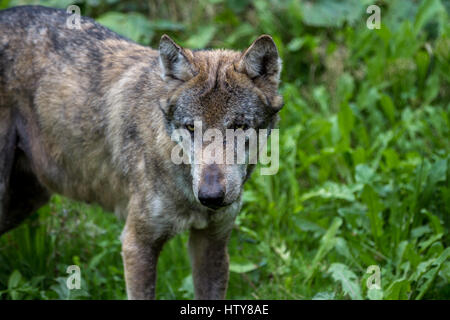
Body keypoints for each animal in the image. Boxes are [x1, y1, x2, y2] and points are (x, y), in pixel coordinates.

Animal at [0, 5, 282, 300]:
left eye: (239, 126)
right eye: (190, 127)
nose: (210, 196)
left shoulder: (212, 244)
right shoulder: (137, 243)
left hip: (28, 199)